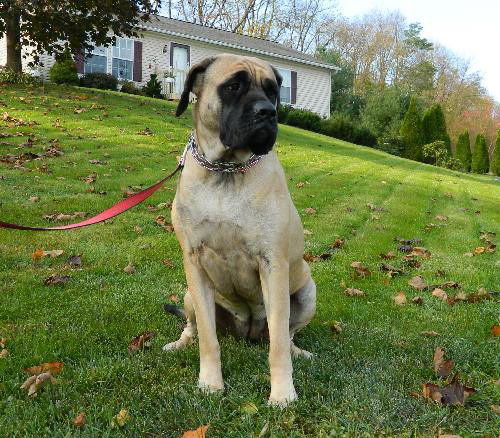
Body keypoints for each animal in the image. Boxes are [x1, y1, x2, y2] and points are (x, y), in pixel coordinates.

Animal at [166, 53, 318, 406]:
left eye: (273, 91)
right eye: (233, 86)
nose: (268, 112)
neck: (225, 170)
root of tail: (246, 331)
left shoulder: (271, 264)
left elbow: (278, 344)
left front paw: (283, 393)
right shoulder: (194, 263)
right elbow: (208, 338)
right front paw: (210, 382)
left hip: (307, 293)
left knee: (288, 333)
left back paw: (297, 350)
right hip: (189, 294)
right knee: (192, 327)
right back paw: (180, 342)